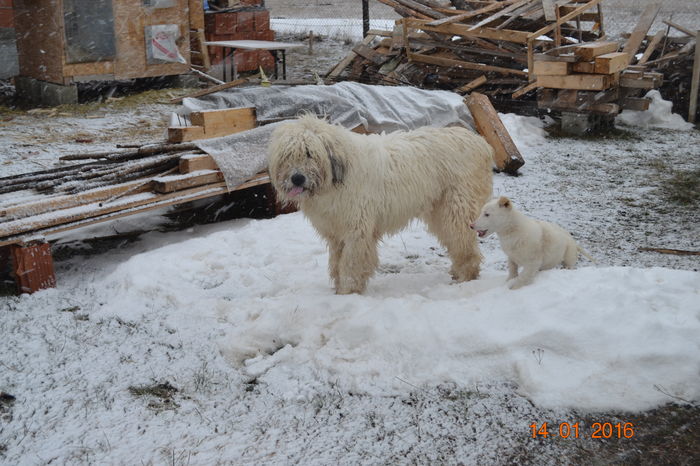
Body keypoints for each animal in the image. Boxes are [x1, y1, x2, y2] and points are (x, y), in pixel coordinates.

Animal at [268, 114, 492, 294]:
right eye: (288, 155)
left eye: (309, 153)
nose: (297, 178)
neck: (336, 178)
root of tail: (480, 142)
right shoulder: (336, 232)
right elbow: (337, 263)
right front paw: (339, 289)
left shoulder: (357, 230)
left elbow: (351, 264)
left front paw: (348, 292)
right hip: (439, 210)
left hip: (457, 206)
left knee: (464, 241)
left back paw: (466, 276)